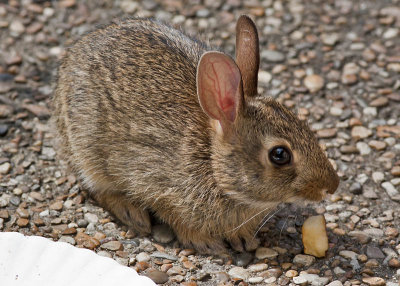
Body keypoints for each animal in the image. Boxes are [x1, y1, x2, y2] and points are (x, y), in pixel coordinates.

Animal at [53, 15, 340, 252]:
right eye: (279, 155)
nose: (332, 186)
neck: (212, 163)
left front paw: (243, 239)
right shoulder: (156, 185)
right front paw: (206, 243)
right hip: (86, 151)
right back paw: (131, 214)